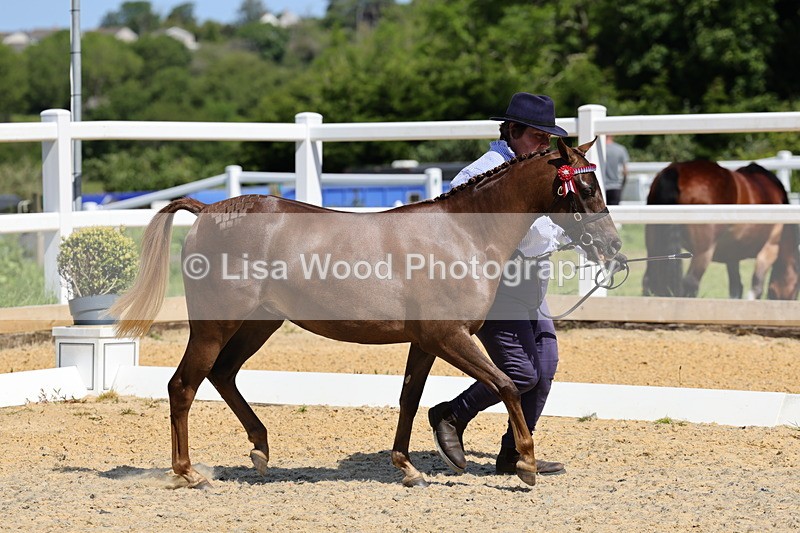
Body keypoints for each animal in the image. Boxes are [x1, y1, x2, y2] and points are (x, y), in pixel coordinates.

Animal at [111, 138, 622, 489]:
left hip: (259, 324)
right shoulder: (450, 336)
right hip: (214, 326)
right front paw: (528, 464)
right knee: (183, 385)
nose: (614, 247)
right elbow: (507, 385)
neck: (463, 235)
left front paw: (408, 467)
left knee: (222, 375)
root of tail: (207, 209)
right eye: (586, 186)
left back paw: (259, 450)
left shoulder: (426, 341)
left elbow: (409, 399)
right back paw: (187, 473)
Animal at [643, 160, 800, 300]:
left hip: (653, 243)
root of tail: (676, 171)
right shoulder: (769, 249)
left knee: (648, 282)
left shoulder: (732, 257)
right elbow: (756, 288)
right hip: (703, 252)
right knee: (690, 283)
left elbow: (736, 289)